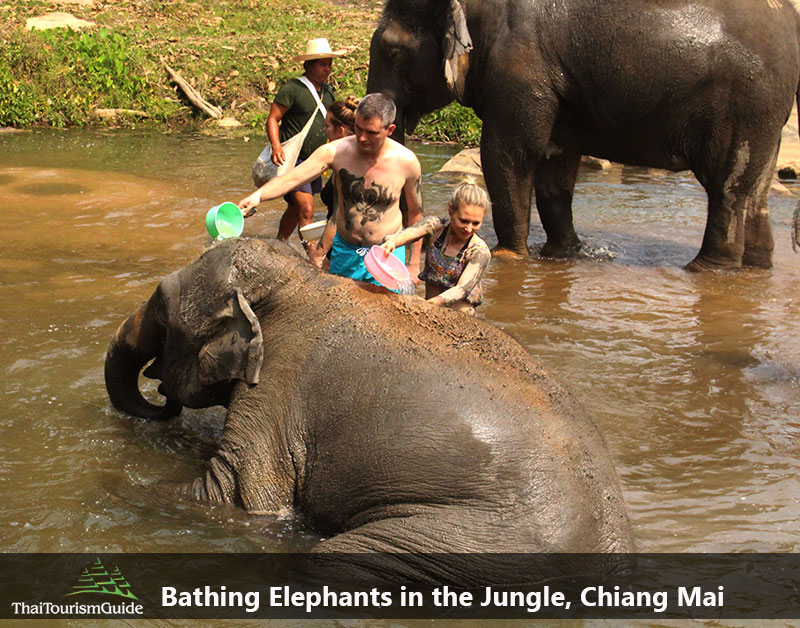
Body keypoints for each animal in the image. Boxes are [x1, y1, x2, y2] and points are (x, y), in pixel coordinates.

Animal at [104, 237, 632, 584]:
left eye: (162, 307)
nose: (161, 396)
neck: (300, 281)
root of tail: (614, 542)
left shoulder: (276, 384)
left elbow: (237, 495)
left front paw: (121, 485)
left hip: (480, 544)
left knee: (331, 558)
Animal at [368, 0, 800, 270]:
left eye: (394, 53)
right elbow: (554, 163)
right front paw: (561, 255)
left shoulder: (519, 66)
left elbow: (508, 153)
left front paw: (509, 256)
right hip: (767, 116)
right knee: (756, 192)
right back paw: (755, 267)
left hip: (746, 103)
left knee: (728, 189)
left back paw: (705, 270)